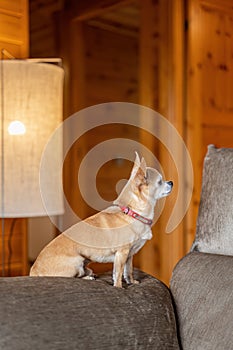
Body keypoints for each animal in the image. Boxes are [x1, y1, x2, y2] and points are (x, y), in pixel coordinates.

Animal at [30, 153, 173, 288]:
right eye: (160, 182)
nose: (171, 182)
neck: (132, 213)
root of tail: (33, 270)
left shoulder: (129, 255)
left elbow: (128, 270)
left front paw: (131, 282)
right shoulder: (122, 253)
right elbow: (118, 272)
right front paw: (119, 287)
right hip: (77, 261)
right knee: (73, 277)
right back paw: (88, 278)